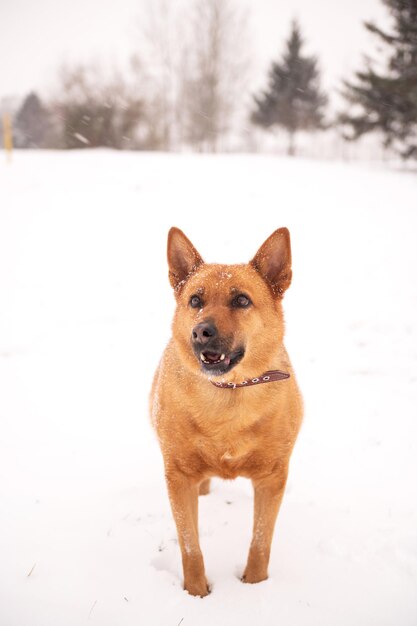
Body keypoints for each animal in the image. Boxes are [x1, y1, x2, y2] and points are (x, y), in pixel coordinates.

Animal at [150, 228, 302, 596]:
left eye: (242, 301)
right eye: (195, 300)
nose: (201, 331)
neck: (229, 394)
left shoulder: (272, 478)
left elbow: (261, 542)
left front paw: (255, 587)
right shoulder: (178, 477)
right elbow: (190, 545)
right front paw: (196, 593)